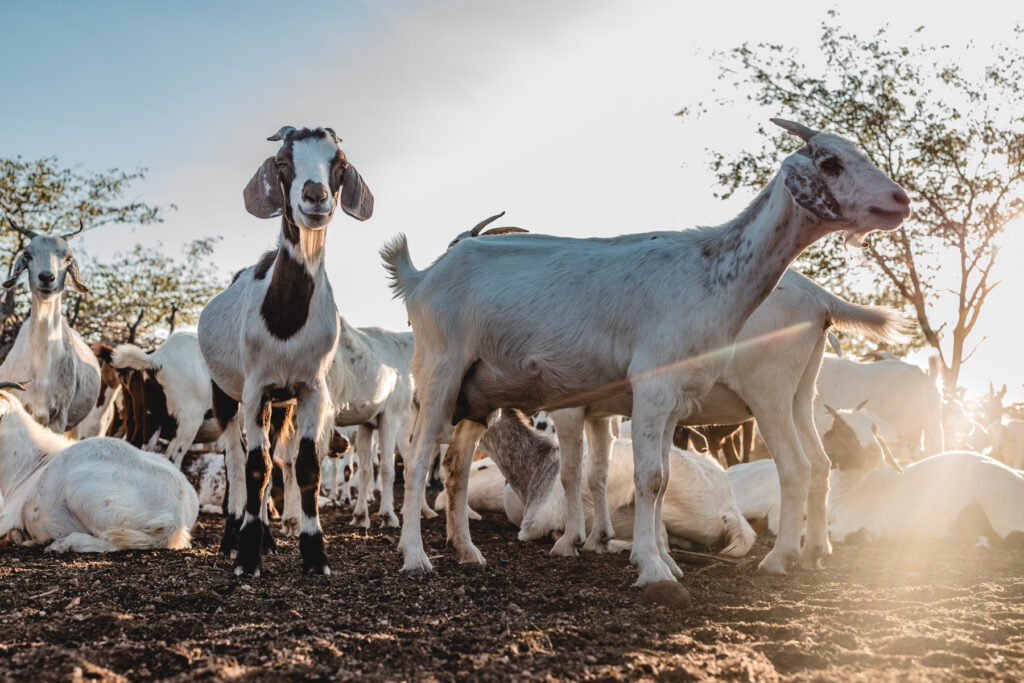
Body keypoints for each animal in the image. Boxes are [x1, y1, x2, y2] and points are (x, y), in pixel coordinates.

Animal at [0, 383, 198, 552]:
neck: (31, 464)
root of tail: (175, 519)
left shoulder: (8, 516)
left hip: (82, 494)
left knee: (112, 541)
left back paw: (61, 544)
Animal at [198, 125, 373, 576]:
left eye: (339, 163)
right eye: (282, 163)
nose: (315, 196)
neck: (285, 318)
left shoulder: (310, 389)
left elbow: (304, 466)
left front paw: (314, 554)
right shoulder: (255, 389)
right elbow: (255, 467)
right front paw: (246, 557)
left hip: (281, 405)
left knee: (273, 459)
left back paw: (268, 539)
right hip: (225, 393)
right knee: (236, 463)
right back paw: (232, 538)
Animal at [382, 119, 910, 586]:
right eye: (829, 162)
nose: (900, 199)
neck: (706, 271)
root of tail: (420, 278)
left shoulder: (668, 399)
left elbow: (652, 477)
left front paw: (646, 557)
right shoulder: (637, 394)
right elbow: (631, 476)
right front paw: (648, 565)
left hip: (789, 392)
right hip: (442, 371)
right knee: (420, 458)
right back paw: (415, 558)